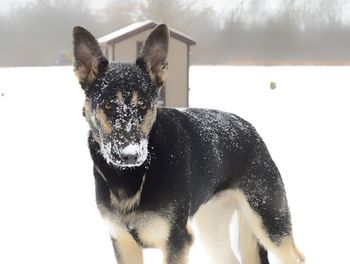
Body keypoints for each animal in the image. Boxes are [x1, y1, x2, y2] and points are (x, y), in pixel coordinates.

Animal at [72, 24, 304, 264]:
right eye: (108, 105)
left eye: (143, 105)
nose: (130, 156)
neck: (135, 175)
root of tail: (249, 127)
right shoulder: (123, 242)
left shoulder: (176, 240)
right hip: (214, 232)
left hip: (269, 222)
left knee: (296, 257)